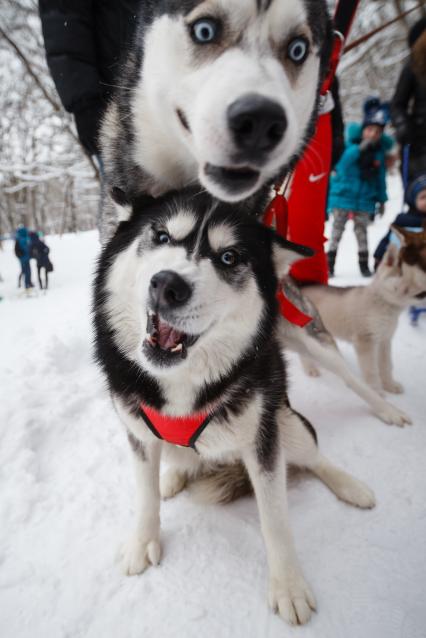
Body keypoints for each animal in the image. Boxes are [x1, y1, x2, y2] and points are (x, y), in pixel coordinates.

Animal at [91, 190, 374, 632]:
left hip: (286, 422)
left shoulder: (263, 439)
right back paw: (173, 476)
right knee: (177, 463)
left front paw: (288, 586)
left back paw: (351, 484)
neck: (182, 384)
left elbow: (275, 521)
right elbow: (145, 496)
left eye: (229, 257)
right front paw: (143, 541)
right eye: (161, 236)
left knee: (315, 456)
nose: (167, 285)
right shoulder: (138, 433)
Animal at [302, 228, 426, 402]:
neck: (385, 304)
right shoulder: (365, 341)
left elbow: (386, 365)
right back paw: (310, 369)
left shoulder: (385, 340)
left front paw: (390, 385)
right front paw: (376, 392)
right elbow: (371, 370)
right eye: (410, 273)